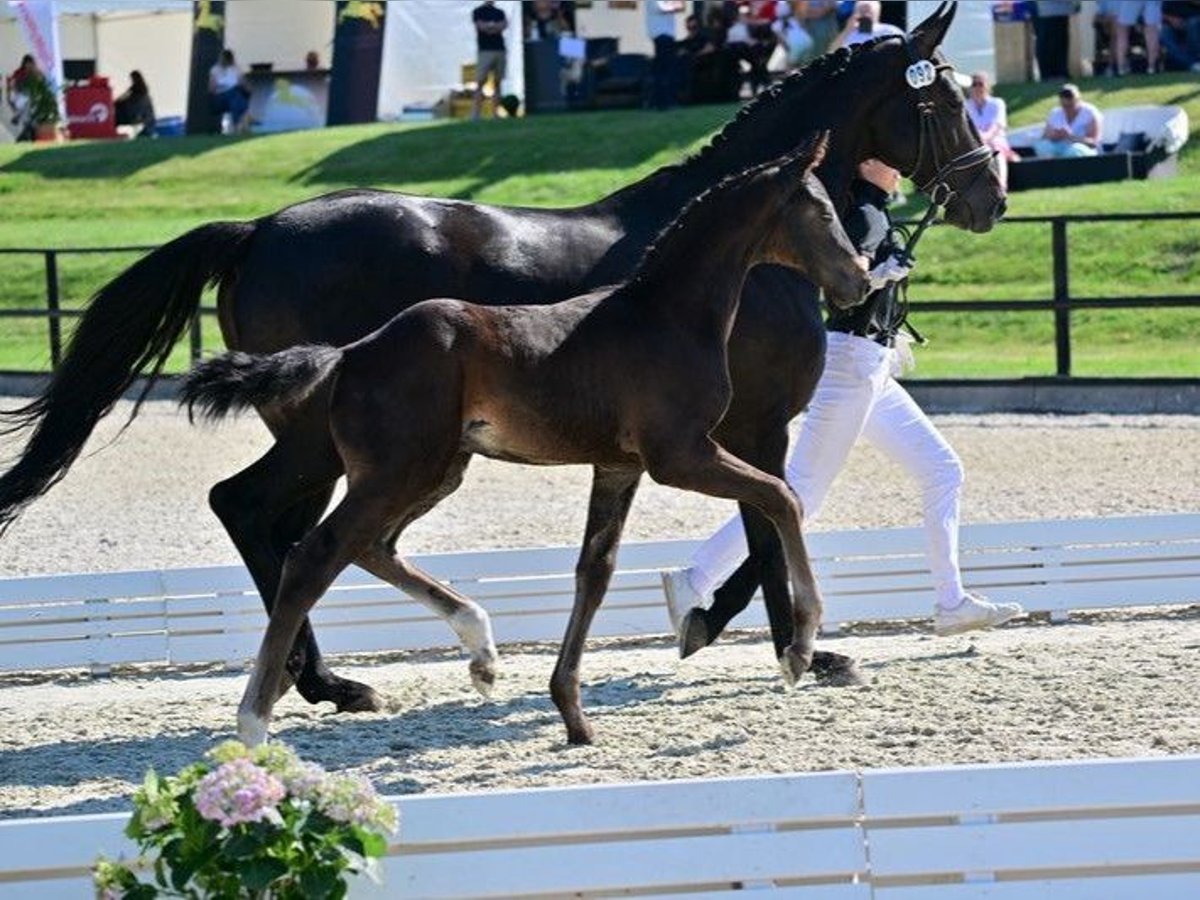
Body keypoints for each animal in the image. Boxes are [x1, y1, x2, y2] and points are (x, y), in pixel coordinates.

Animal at [180, 141, 873, 748]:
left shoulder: (618, 466)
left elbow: (595, 570)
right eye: (823, 212)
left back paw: (480, 652)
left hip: (434, 470)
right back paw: (261, 718)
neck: (667, 315)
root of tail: (351, 354)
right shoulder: (682, 455)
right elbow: (781, 499)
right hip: (398, 471)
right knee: (311, 554)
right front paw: (801, 649)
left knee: (369, 546)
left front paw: (573, 715)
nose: (860, 280)